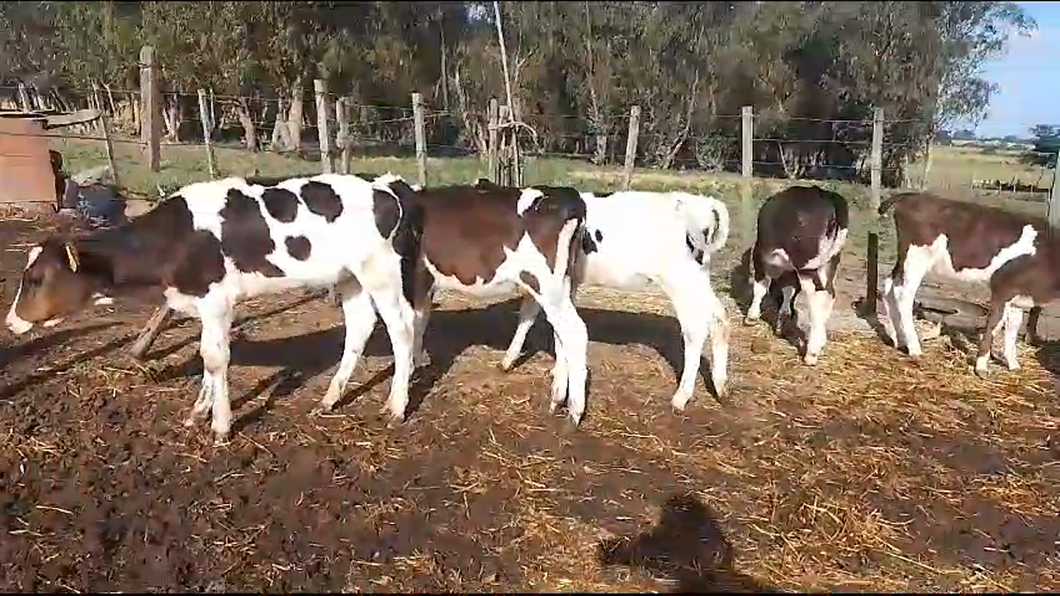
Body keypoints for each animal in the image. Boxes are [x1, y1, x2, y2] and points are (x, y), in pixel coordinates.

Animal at [7, 171, 426, 441]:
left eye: (37, 279)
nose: (11, 322)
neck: (176, 239)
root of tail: (389, 184)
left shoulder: (217, 300)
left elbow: (215, 359)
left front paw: (221, 426)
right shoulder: (201, 303)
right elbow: (207, 355)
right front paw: (198, 413)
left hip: (381, 272)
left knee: (402, 329)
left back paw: (396, 407)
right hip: (349, 276)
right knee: (360, 326)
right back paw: (329, 399)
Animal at [746, 183, 852, 364]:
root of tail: (827, 197)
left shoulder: (759, 254)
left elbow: (760, 286)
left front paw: (751, 316)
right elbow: (789, 291)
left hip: (806, 263)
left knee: (818, 296)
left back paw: (811, 353)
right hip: (830, 259)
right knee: (830, 292)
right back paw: (820, 340)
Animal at [873, 193, 1055, 373]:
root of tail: (909, 196)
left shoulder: (1019, 294)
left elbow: (1013, 326)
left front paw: (1013, 363)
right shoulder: (1002, 286)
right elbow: (995, 324)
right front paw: (981, 366)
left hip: (904, 258)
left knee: (889, 285)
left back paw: (899, 339)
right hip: (916, 258)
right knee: (903, 294)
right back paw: (914, 347)